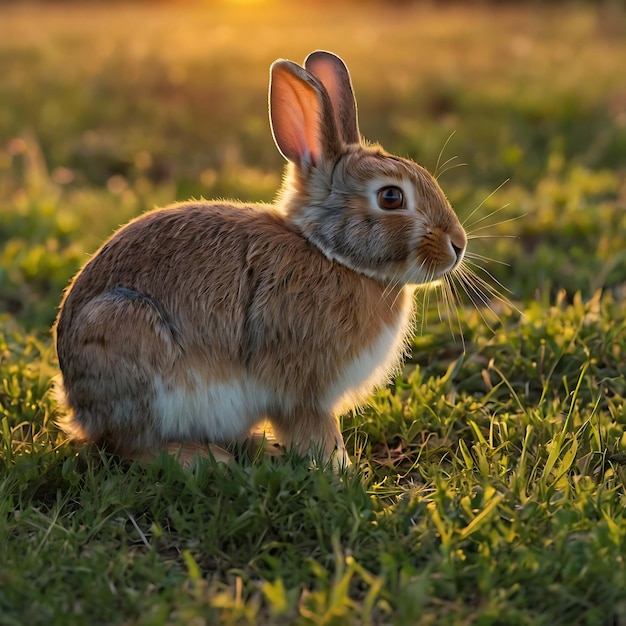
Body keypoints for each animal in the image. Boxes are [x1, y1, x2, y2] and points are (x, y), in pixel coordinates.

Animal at [53, 51, 464, 466]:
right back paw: (203, 458)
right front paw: (340, 468)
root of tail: (79, 409)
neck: (331, 255)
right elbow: (317, 432)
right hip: (131, 345)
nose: (458, 245)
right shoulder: (301, 390)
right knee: (128, 445)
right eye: (391, 197)